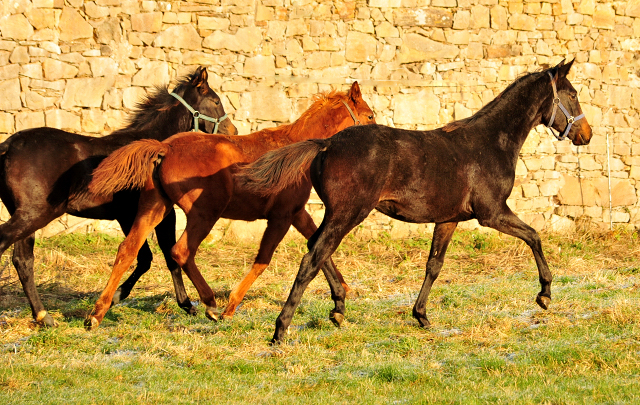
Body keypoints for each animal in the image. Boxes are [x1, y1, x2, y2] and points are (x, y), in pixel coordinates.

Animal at [0, 66, 238, 326]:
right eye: (216, 101)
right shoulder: (160, 214)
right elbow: (162, 255)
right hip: (34, 214)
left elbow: (146, 257)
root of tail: (7, 147)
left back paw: (44, 316)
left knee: (23, 260)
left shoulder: (126, 216)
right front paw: (187, 304)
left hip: (26, 216)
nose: (233, 132)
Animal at [85, 82, 376, 328]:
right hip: (204, 213)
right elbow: (264, 259)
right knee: (181, 251)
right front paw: (231, 307)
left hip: (154, 208)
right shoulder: (281, 217)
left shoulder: (297, 212)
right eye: (370, 115)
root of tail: (165, 148)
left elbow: (316, 245)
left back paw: (97, 313)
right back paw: (210, 303)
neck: (295, 148)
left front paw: (340, 296)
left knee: (128, 250)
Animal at [238, 58, 592, 340]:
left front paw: (421, 315)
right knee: (313, 256)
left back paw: (337, 308)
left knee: (316, 247)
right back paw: (281, 330)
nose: (586, 134)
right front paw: (545, 294)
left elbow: (433, 265)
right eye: (573, 94)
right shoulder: (491, 212)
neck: (491, 142)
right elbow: (534, 236)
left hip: (336, 213)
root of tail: (326, 143)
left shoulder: (448, 219)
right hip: (349, 213)